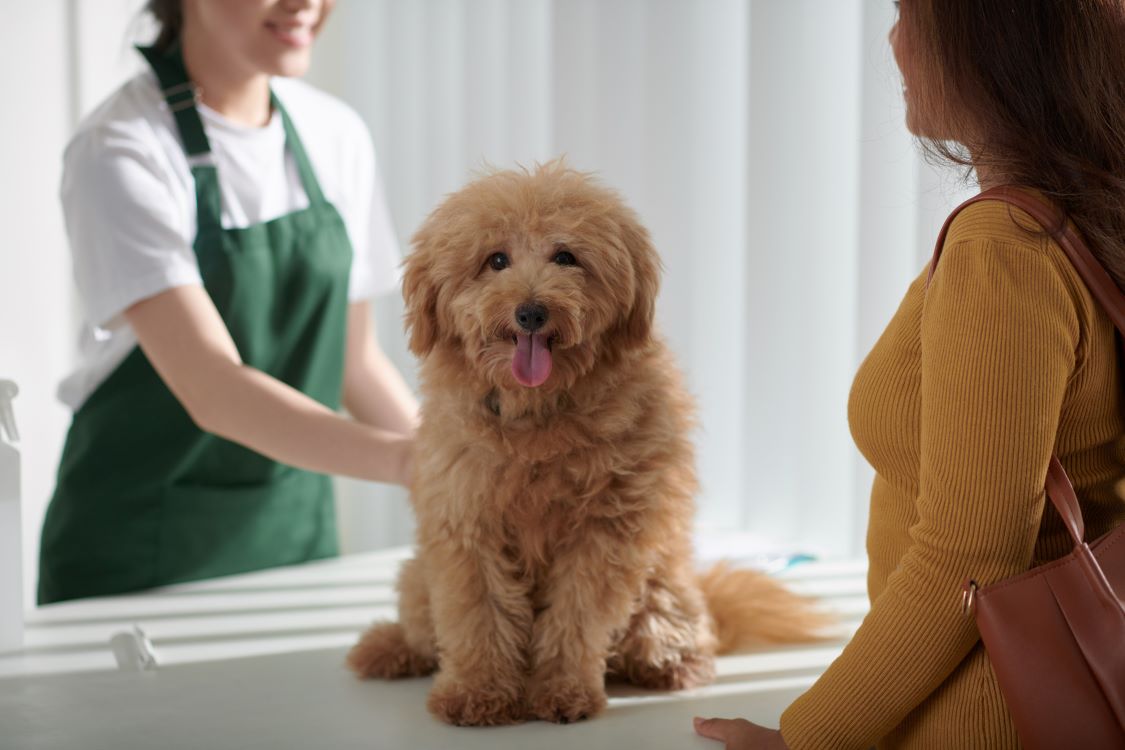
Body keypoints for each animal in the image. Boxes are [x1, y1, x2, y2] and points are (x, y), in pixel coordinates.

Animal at [346, 159, 823, 728]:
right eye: (495, 260)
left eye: (566, 256)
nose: (531, 312)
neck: (539, 416)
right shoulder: (466, 524)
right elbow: (479, 614)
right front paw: (478, 692)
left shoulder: (605, 532)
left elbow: (577, 616)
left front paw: (561, 690)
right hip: (419, 578)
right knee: (422, 628)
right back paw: (388, 647)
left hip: (664, 587)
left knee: (665, 634)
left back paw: (677, 664)